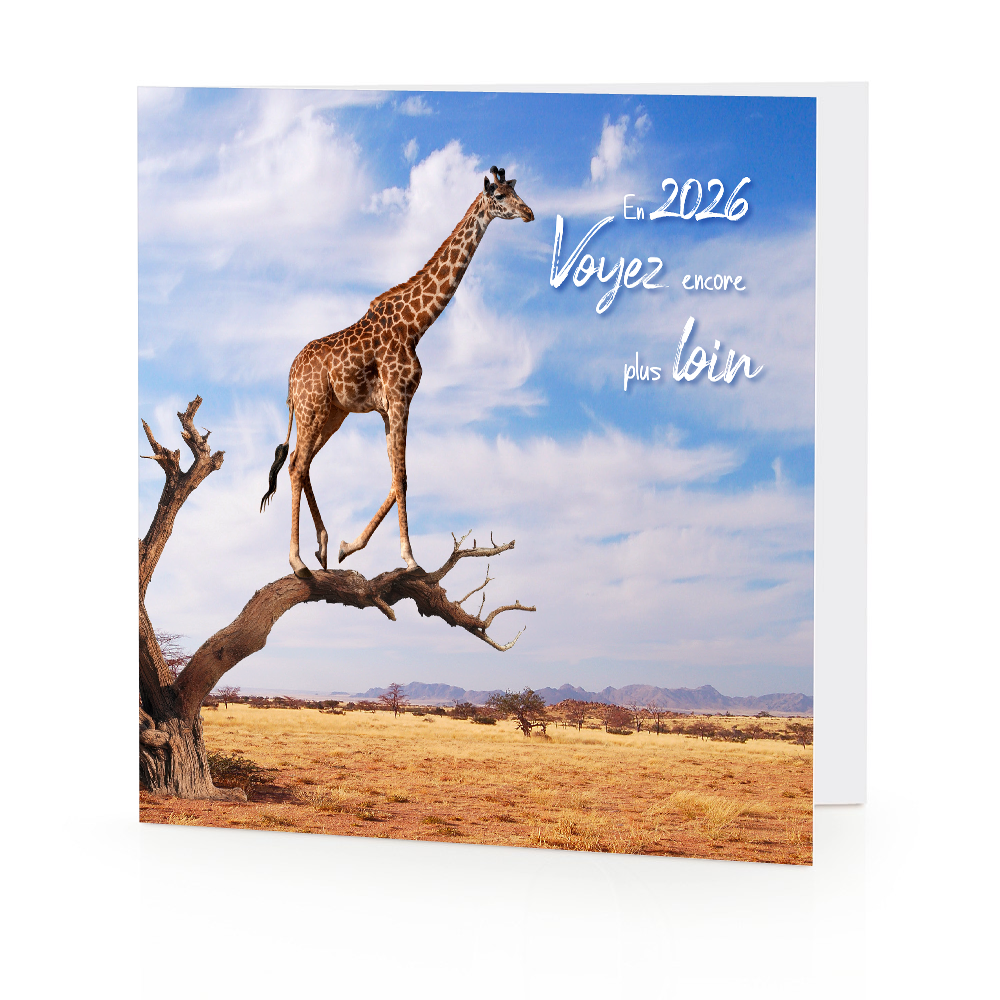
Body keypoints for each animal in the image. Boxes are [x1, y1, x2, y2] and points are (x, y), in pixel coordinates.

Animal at [260, 165, 534, 578]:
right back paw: (298, 562)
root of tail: (290, 380)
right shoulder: (401, 397)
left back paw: (322, 546)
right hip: (312, 410)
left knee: (302, 464)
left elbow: (396, 476)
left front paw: (348, 547)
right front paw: (409, 558)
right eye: (500, 197)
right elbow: (402, 478)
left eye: (516, 191)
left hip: (332, 414)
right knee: (295, 466)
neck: (416, 324)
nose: (529, 212)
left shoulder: (389, 407)